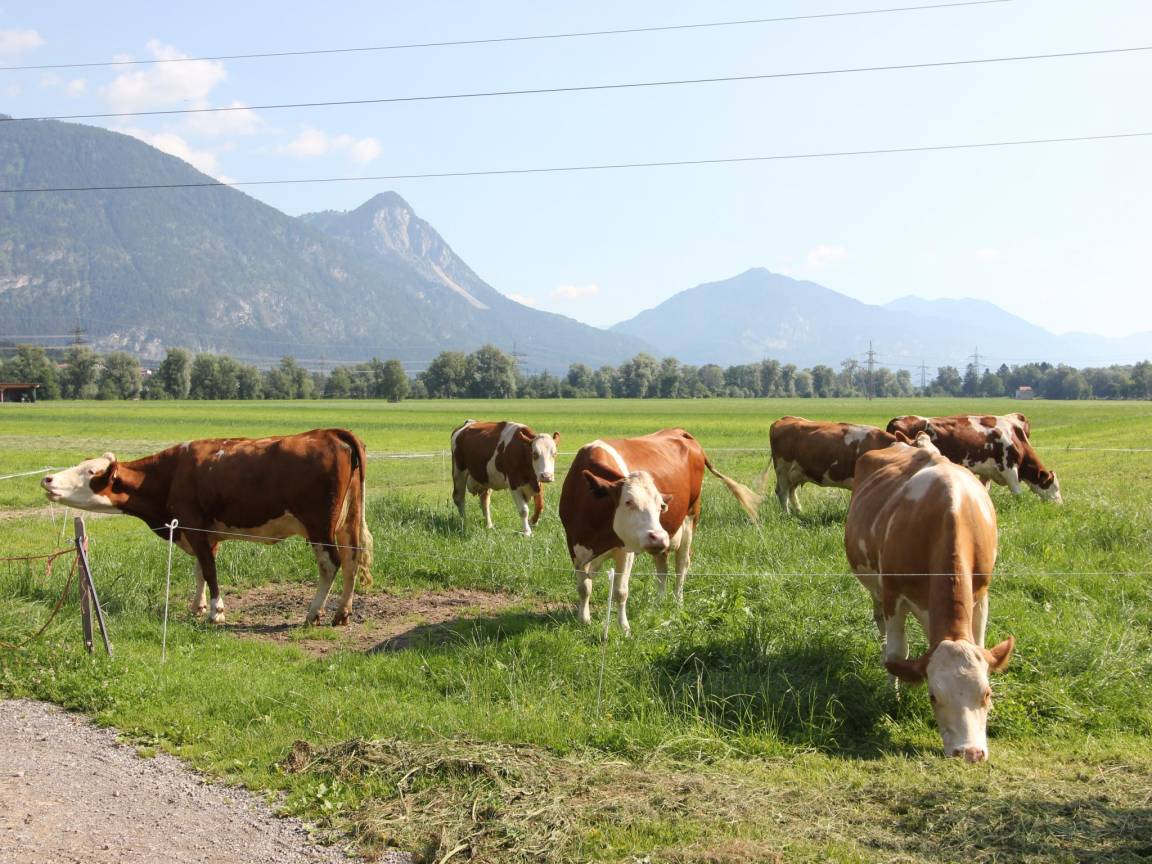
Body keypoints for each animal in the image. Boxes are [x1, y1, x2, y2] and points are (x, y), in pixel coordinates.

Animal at [41, 429, 373, 627]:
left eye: (89, 472)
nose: (47, 479)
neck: (170, 475)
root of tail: (328, 433)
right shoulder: (202, 533)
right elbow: (200, 570)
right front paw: (197, 606)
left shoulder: (194, 526)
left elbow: (210, 571)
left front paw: (216, 611)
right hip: (347, 521)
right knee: (352, 560)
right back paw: (342, 613)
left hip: (319, 526)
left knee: (330, 564)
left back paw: (314, 612)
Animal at [559, 428, 762, 634]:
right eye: (628, 502)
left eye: (661, 506)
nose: (659, 537)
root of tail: (680, 431)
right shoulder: (574, 546)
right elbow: (584, 587)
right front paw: (584, 620)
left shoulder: (626, 550)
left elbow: (620, 591)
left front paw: (624, 627)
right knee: (662, 568)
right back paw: (658, 603)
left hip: (690, 518)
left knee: (681, 565)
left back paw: (678, 602)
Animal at [766, 416, 899, 512]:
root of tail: (785, 418)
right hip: (783, 470)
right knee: (782, 492)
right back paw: (787, 514)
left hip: (796, 473)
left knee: (791, 492)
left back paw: (799, 511)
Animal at [845, 433, 1015, 762]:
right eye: (933, 696)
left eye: (986, 693)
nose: (970, 752)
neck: (950, 512)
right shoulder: (893, 594)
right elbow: (896, 654)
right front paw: (894, 697)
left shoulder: (982, 593)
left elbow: (979, 641)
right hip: (875, 588)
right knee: (882, 628)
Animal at [886, 413, 1060, 502]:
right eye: (1054, 486)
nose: (1060, 504)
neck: (1015, 435)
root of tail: (896, 419)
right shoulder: (1009, 467)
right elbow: (1018, 493)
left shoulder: (988, 472)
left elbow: (984, 489)